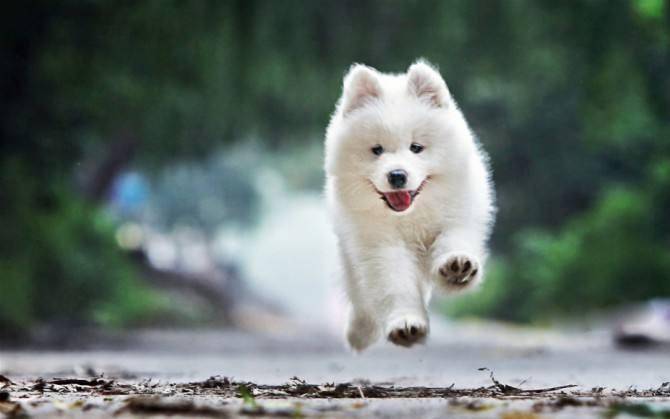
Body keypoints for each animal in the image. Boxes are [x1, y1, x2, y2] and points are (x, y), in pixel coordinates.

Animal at [322, 59, 496, 352]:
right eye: (377, 150)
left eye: (416, 147)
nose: (397, 175)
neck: (412, 216)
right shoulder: (379, 244)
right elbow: (393, 282)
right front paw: (406, 325)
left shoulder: (460, 214)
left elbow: (454, 240)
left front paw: (456, 267)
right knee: (361, 298)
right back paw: (360, 333)